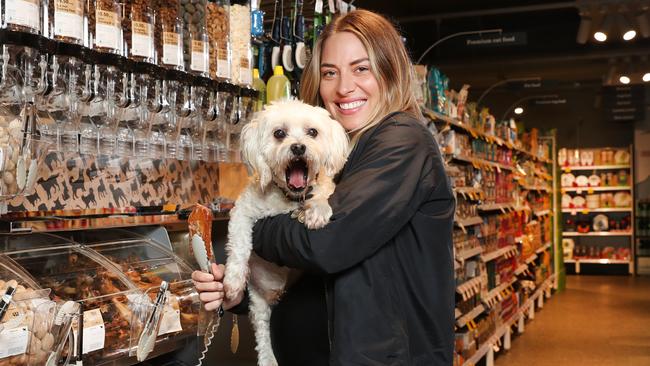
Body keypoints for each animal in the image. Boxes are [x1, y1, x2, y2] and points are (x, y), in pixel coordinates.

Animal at [221, 100, 346, 366]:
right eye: (279, 133)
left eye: (312, 132)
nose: (298, 147)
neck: (290, 198)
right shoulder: (242, 212)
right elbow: (239, 246)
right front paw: (233, 280)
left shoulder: (324, 189)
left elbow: (322, 195)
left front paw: (316, 210)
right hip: (258, 302)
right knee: (262, 333)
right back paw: (268, 358)